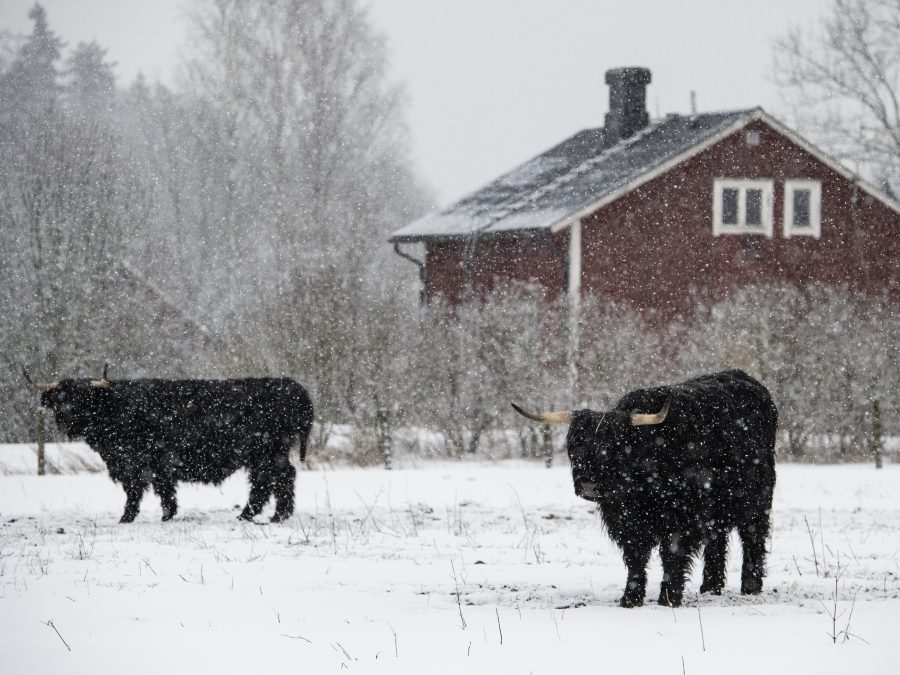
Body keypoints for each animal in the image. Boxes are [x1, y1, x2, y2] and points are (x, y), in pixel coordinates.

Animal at [35, 374, 314, 524]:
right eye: (60, 399)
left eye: (84, 399)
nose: (66, 417)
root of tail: (291, 385)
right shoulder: (154, 465)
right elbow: (163, 489)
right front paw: (166, 514)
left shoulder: (136, 464)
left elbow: (137, 490)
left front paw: (128, 517)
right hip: (265, 455)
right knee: (272, 480)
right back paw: (266, 515)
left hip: (268, 452)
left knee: (275, 479)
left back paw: (268, 516)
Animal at [516, 370, 776, 608]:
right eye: (574, 447)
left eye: (612, 448)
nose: (589, 485)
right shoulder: (627, 522)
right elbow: (635, 558)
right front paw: (630, 598)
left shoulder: (680, 517)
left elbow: (671, 555)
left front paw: (668, 598)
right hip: (717, 505)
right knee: (717, 540)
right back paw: (711, 587)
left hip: (756, 499)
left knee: (753, 536)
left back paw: (750, 587)